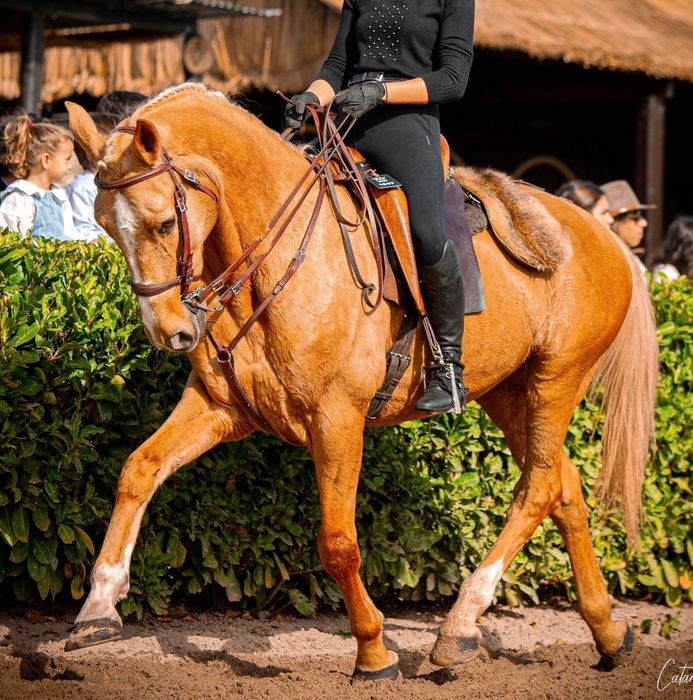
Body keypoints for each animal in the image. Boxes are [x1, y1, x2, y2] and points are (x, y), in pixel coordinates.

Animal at [64, 83, 657, 679]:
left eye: (164, 223)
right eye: (106, 227)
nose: (170, 332)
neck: (276, 257)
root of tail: (602, 234)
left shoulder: (337, 419)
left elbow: (338, 543)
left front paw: (373, 651)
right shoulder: (218, 408)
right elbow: (139, 469)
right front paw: (98, 608)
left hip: (556, 380)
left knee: (537, 489)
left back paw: (460, 625)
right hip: (509, 393)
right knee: (564, 486)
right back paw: (606, 630)